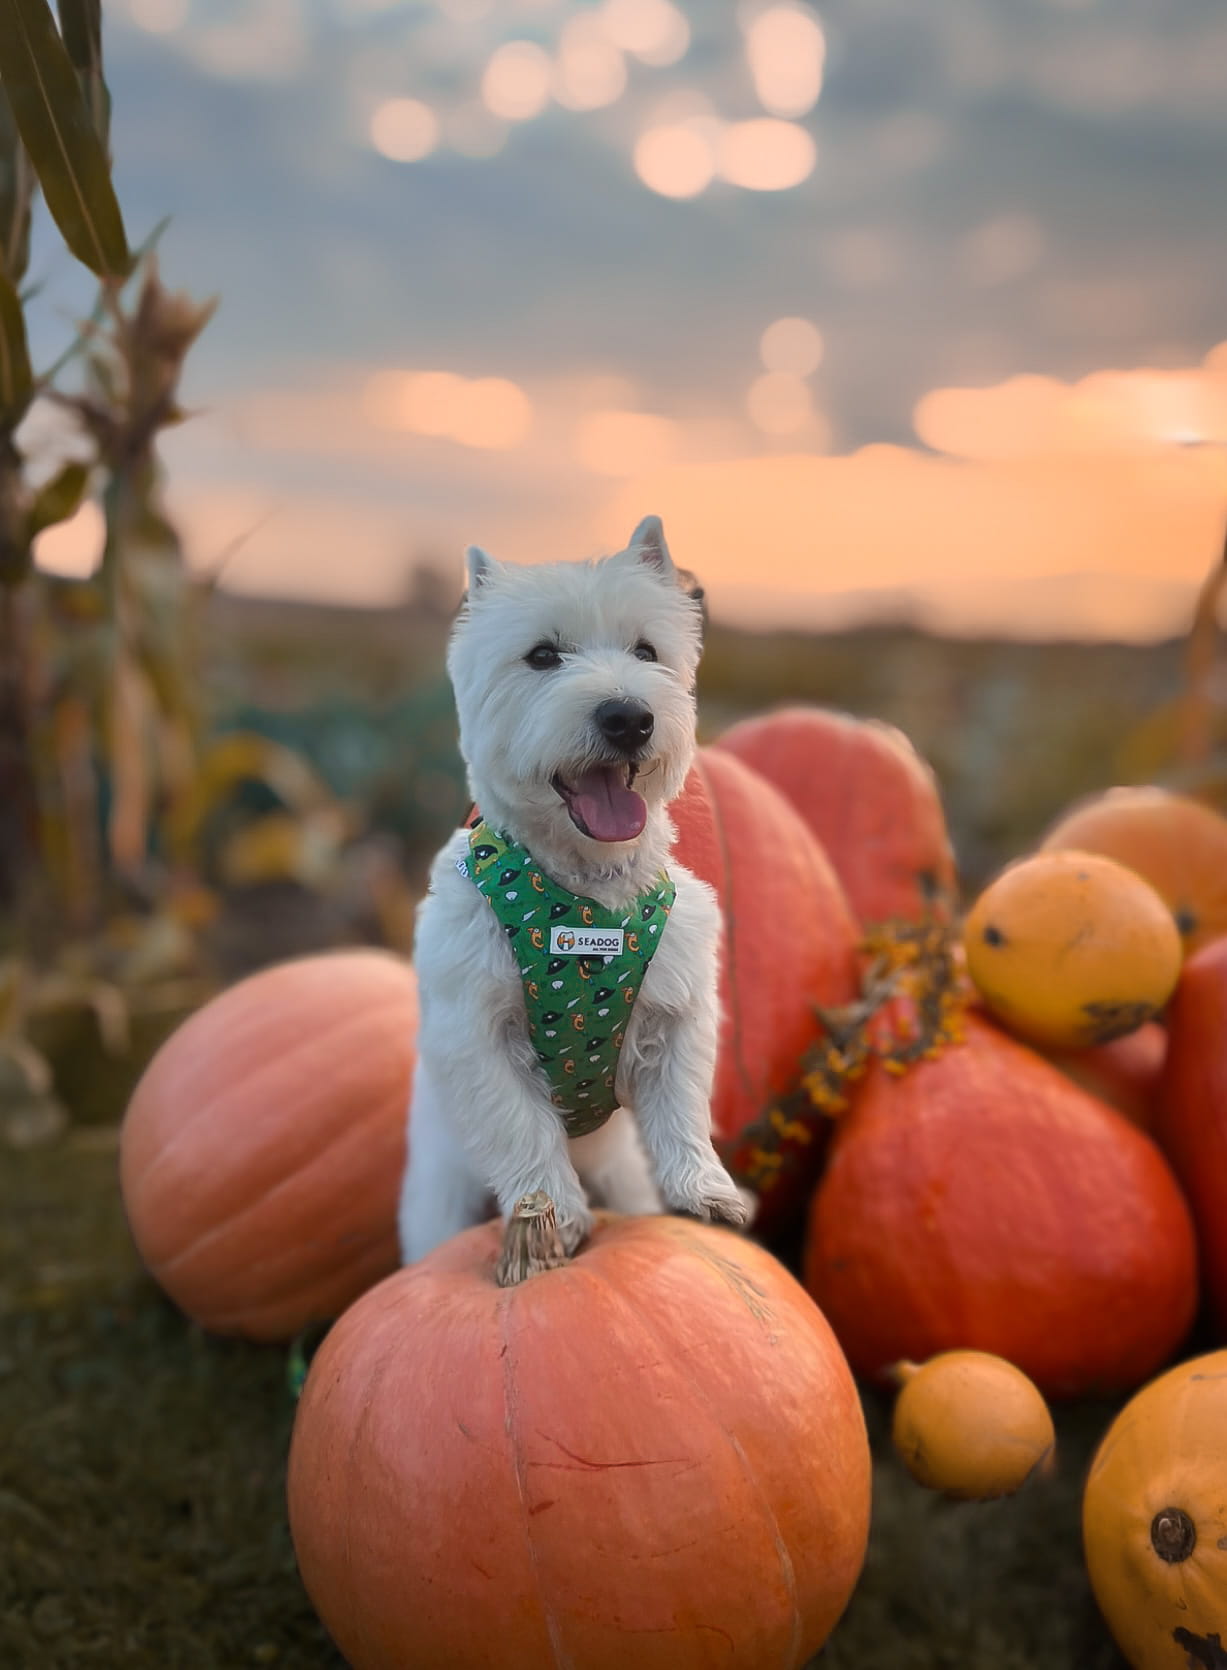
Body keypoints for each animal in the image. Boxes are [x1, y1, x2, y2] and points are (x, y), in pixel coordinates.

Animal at [400, 514, 747, 1255]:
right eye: (540, 656)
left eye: (646, 650)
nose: (628, 718)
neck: (585, 896)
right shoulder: (476, 1033)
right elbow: (521, 1130)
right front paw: (551, 1218)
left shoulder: (678, 1009)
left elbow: (681, 1108)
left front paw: (705, 1194)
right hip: (438, 1193)